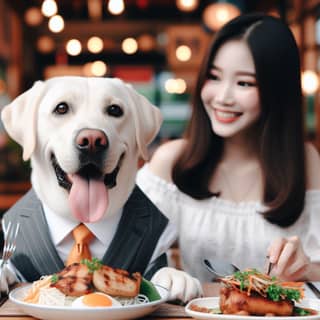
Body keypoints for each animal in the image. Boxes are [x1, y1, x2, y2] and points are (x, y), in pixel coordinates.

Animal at [0, 75, 202, 302]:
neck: (83, 220)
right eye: (61, 108)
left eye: (115, 110)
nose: (92, 140)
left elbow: (160, 269)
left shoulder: (157, 248)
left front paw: (176, 276)